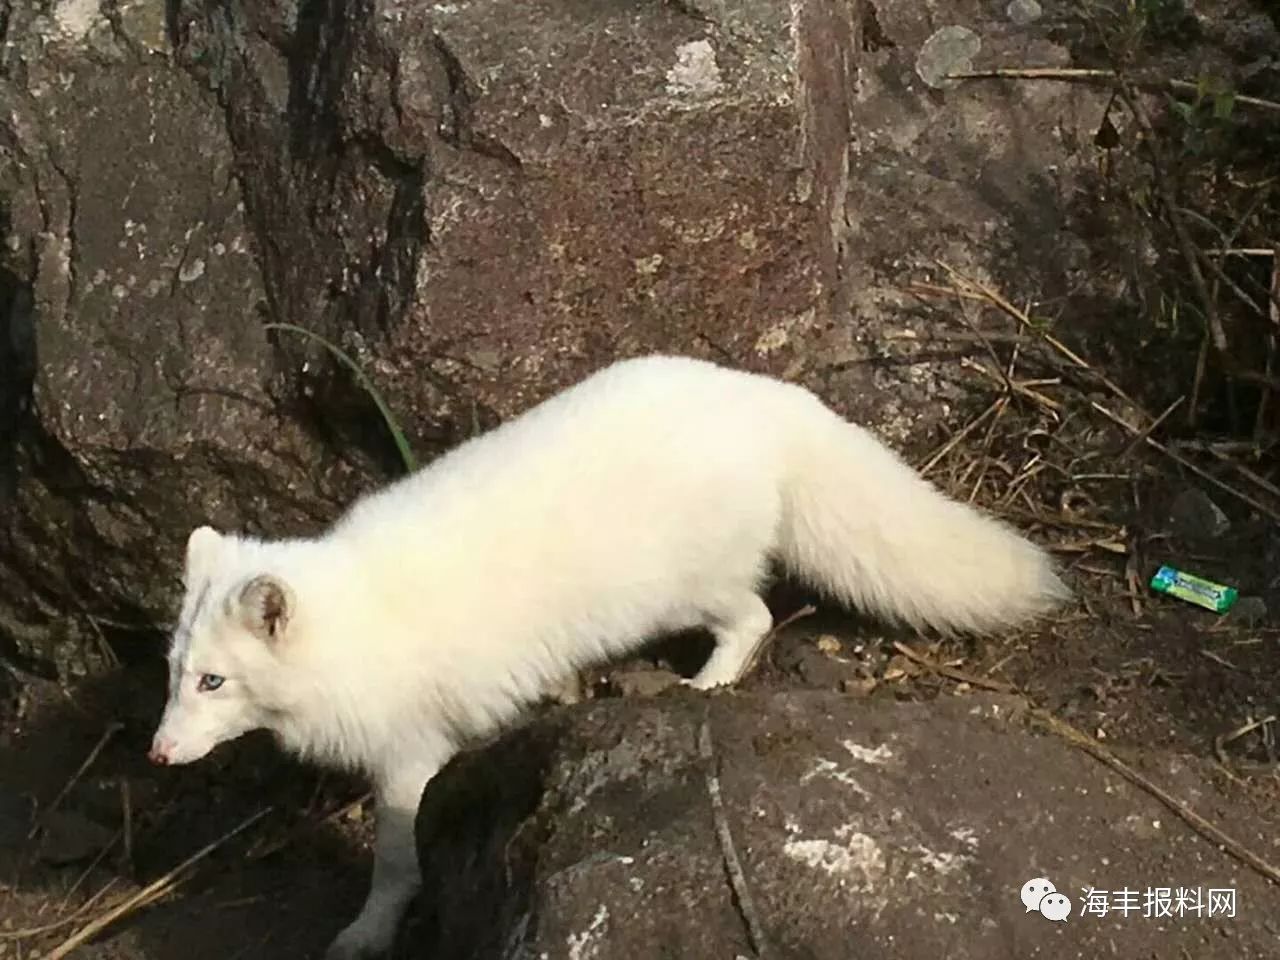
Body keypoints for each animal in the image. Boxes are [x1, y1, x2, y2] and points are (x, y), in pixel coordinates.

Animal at [149, 355, 1064, 960]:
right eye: (173, 672)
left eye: (214, 680)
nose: (156, 753)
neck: (355, 623)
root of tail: (765, 396)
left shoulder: (410, 758)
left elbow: (395, 862)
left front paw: (366, 933)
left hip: (687, 589)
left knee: (756, 615)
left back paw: (707, 684)